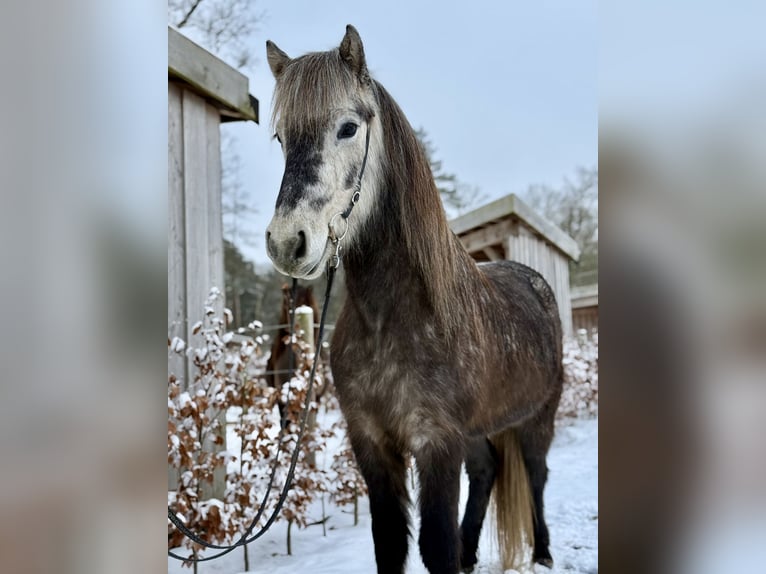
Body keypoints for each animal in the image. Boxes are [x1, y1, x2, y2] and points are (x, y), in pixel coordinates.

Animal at [264, 26, 563, 573]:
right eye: (281, 138)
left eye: (348, 128)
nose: (287, 242)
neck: (391, 320)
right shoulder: (373, 444)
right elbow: (391, 543)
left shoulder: (437, 442)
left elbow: (434, 545)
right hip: (478, 430)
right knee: (487, 472)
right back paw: (473, 553)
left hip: (537, 418)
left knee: (536, 474)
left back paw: (543, 552)